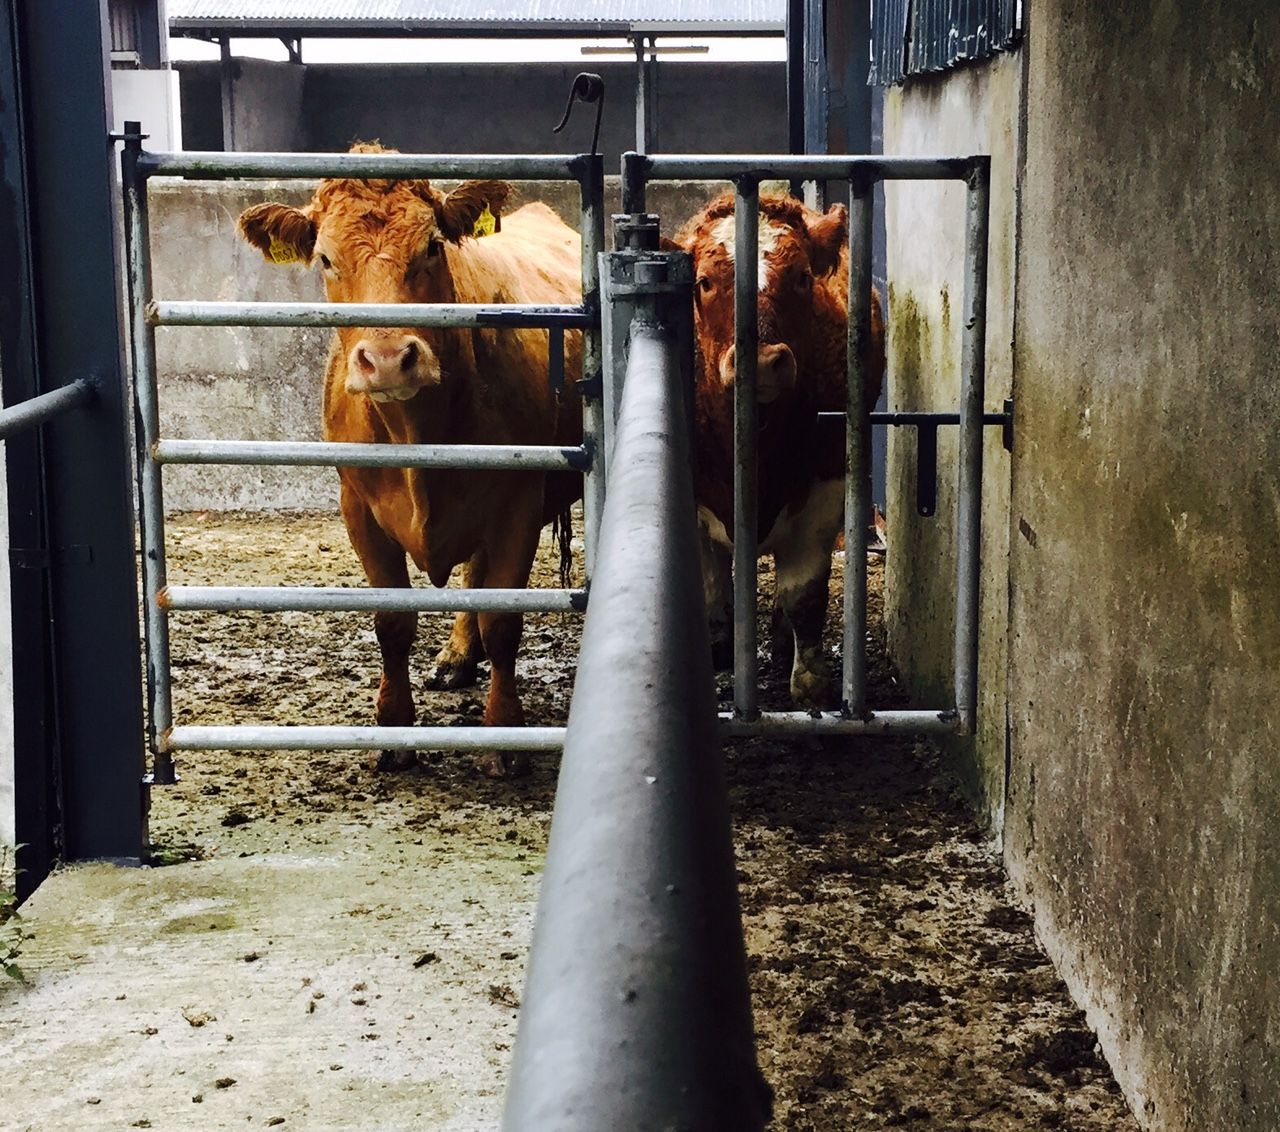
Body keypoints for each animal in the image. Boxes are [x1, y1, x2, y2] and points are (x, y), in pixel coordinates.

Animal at [236, 143, 582, 777]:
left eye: (432, 246)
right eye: (325, 258)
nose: (389, 358)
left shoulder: (517, 503)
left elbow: (504, 621)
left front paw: (504, 735)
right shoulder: (357, 508)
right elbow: (392, 622)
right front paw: (394, 730)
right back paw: (457, 656)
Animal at [668, 191, 886, 708]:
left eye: (802, 277)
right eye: (704, 282)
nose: (763, 362)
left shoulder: (827, 489)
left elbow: (804, 597)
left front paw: (809, 682)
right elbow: (710, 588)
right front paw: (715, 646)